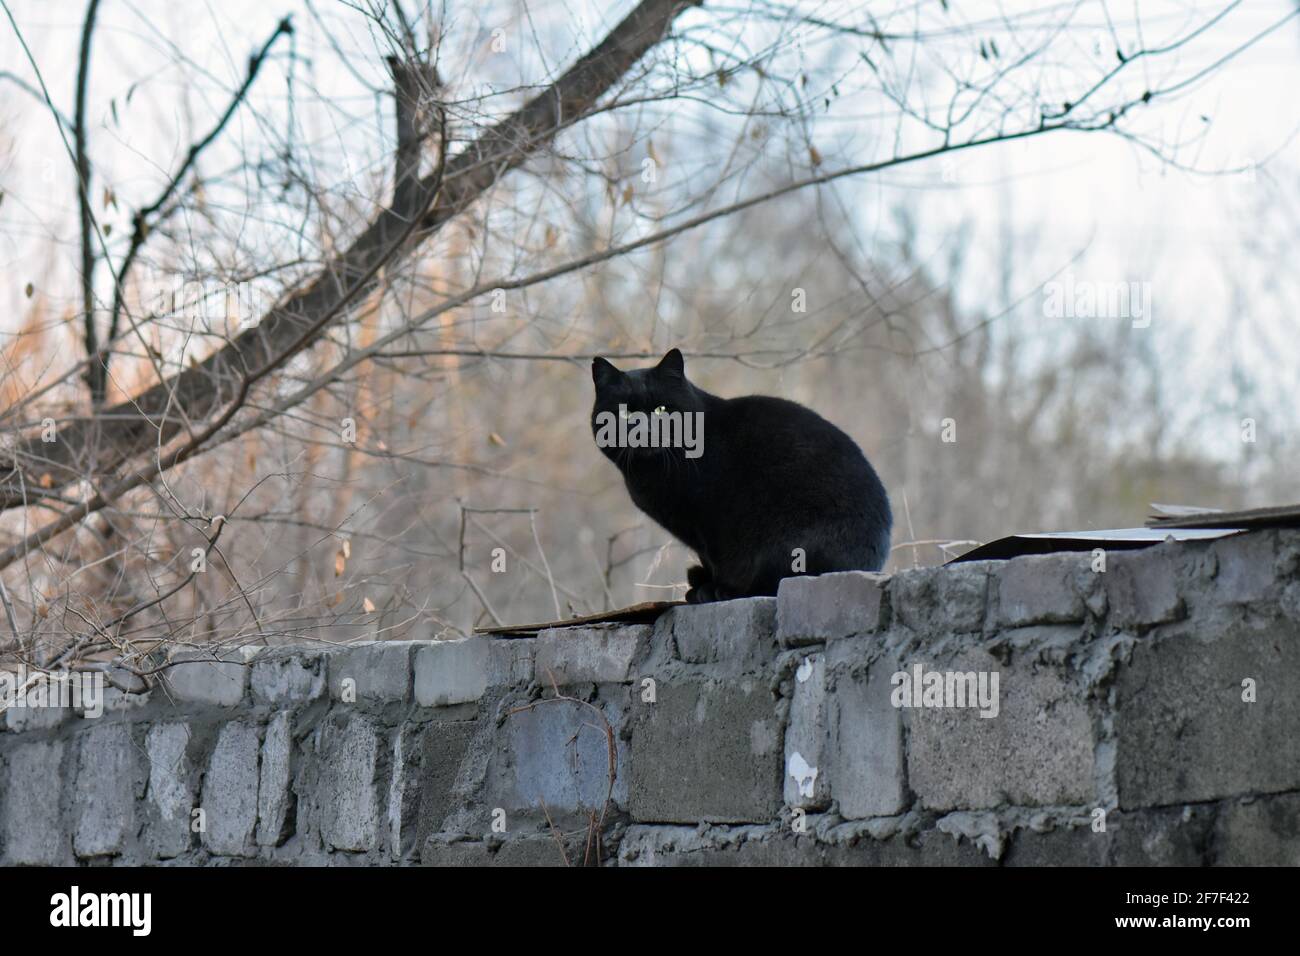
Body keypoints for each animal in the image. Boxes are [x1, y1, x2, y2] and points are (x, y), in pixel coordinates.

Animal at [592, 351, 889, 600]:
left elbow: (717, 558)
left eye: (661, 410)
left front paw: (712, 588)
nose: (645, 429)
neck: (650, 472)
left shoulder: (711, 521)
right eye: (625, 412)